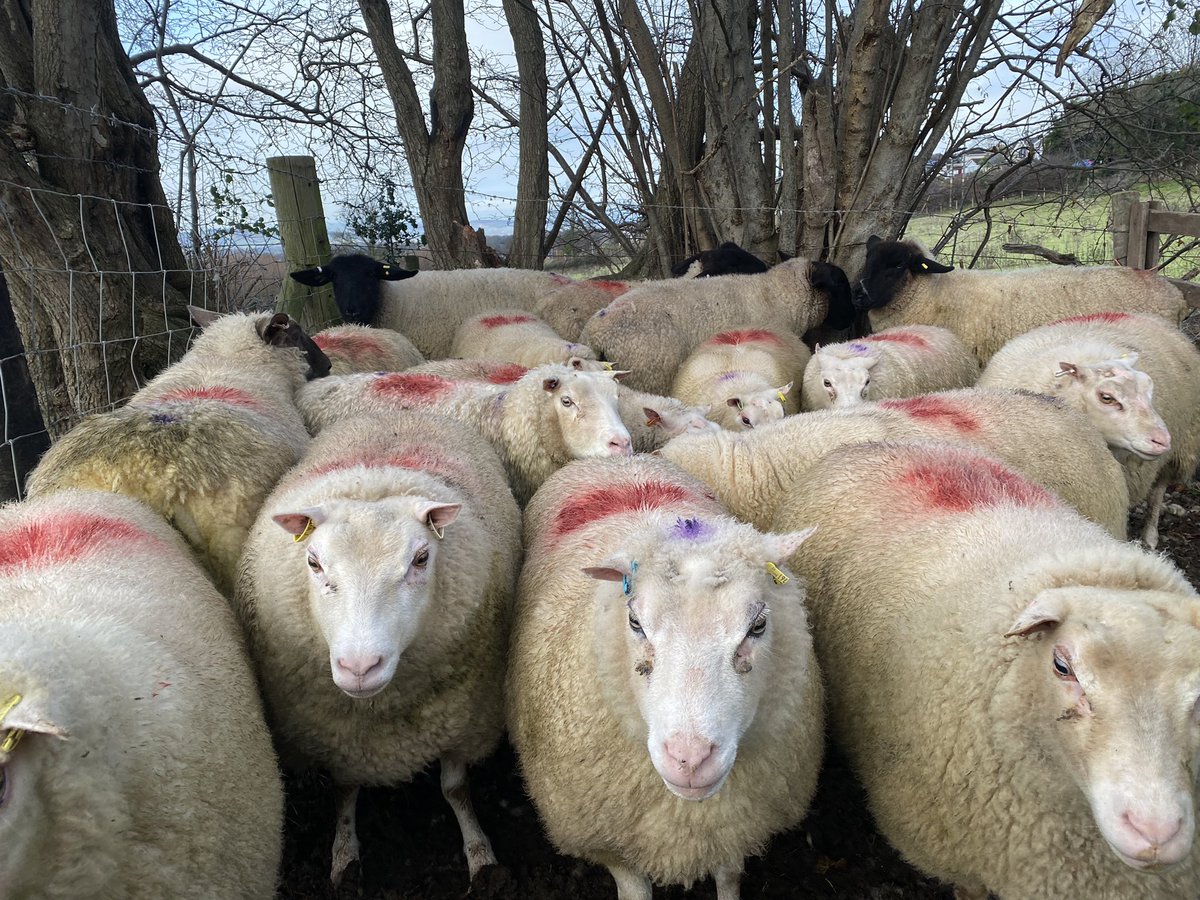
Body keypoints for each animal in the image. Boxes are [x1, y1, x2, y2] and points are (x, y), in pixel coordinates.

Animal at [236, 411, 519, 886]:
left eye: (421, 559)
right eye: (313, 562)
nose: (360, 666)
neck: (380, 715)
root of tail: (399, 411)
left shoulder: (465, 720)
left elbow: (455, 788)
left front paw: (481, 857)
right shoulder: (340, 737)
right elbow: (345, 790)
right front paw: (344, 857)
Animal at [508, 455, 823, 900]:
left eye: (758, 625)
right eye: (635, 622)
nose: (689, 759)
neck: (685, 815)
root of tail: (621, 460)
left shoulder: (733, 829)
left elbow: (728, 878)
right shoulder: (609, 844)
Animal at [977, 311, 1200, 547]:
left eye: (1149, 388)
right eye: (1107, 397)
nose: (1162, 440)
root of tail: (1145, 316)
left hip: (1181, 444)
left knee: (1158, 491)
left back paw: (1150, 536)